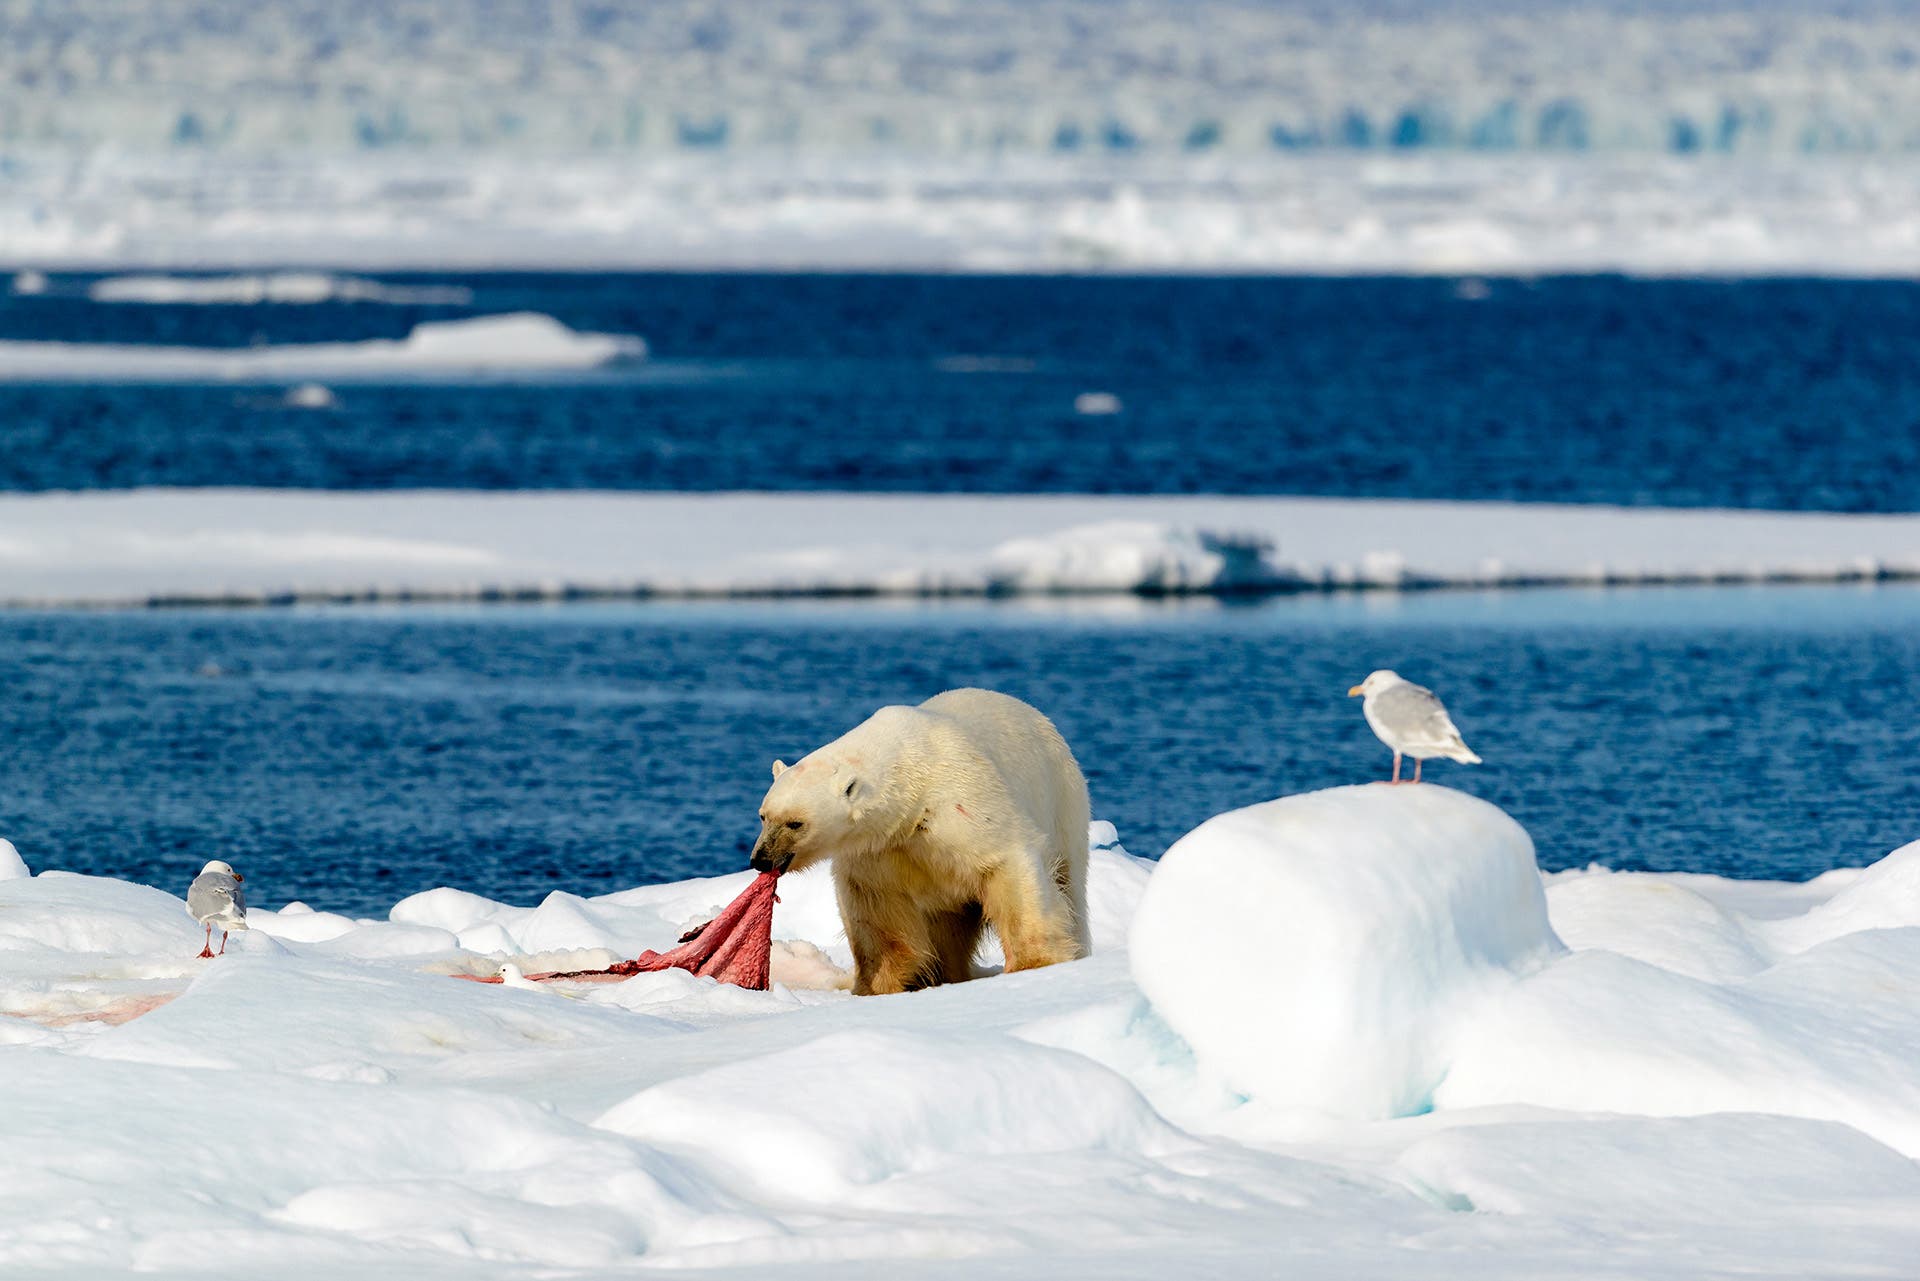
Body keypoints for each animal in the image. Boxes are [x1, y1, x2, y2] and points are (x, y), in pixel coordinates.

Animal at [748, 687, 1090, 998]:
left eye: (796, 823)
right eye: (763, 816)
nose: (761, 859)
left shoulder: (963, 805)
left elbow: (1006, 867)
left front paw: (1034, 965)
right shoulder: (877, 847)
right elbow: (877, 909)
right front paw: (879, 985)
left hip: (1063, 800)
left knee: (1069, 884)